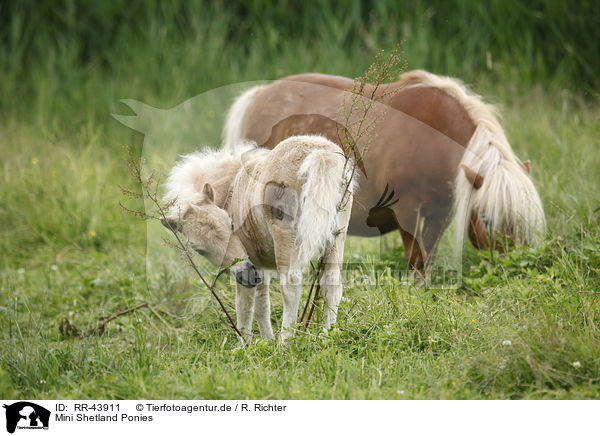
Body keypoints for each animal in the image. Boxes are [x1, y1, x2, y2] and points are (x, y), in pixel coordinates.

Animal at [223, 69, 548, 270]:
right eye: (489, 220)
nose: (513, 265)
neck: (434, 138)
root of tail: (258, 95)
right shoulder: (407, 211)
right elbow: (416, 260)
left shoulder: (441, 214)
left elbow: (428, 257)